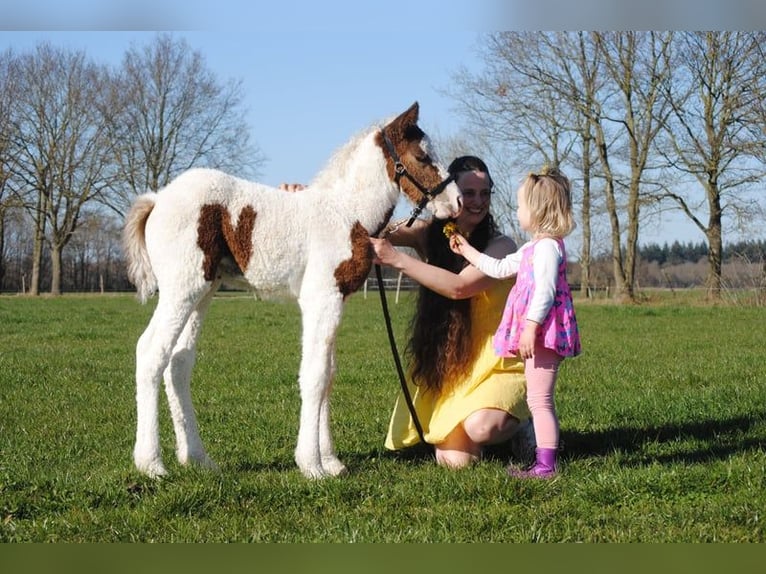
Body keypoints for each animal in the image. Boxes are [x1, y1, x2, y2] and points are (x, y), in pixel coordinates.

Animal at [122, 102, 463, 479]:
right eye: (421, 156)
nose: (457, 202)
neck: (345, 214)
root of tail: (157, 200)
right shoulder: (321, 298)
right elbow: (314, 375)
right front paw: (312, 465)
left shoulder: (335, 301)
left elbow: (328, 374)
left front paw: (331, 461)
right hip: (181, 291)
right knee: (151, 352)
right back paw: (151, 464)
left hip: (203, 293)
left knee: (179, 362)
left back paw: (198, 458)